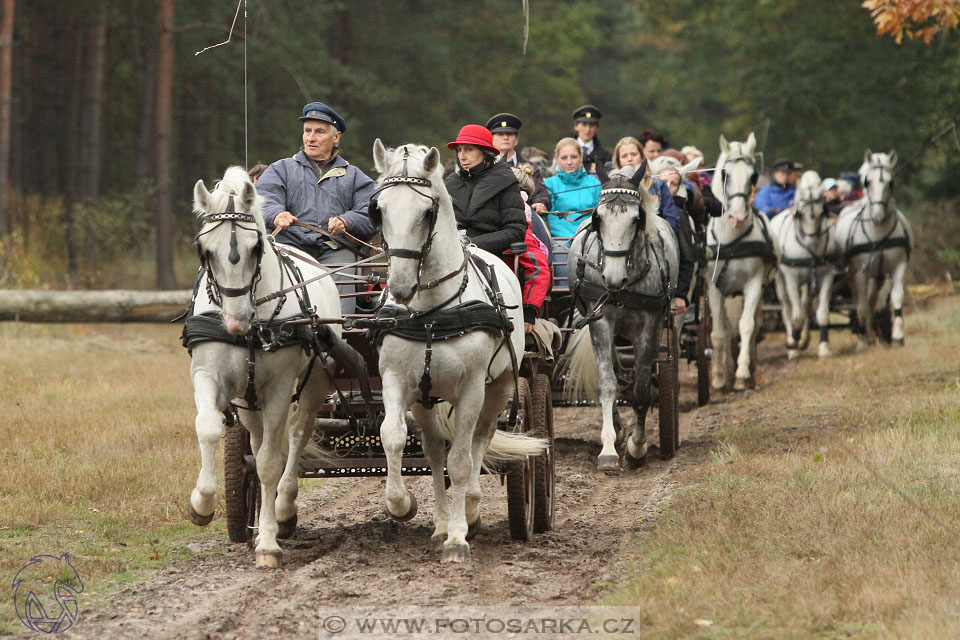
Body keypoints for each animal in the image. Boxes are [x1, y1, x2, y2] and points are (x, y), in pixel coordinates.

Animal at [188, 166, 342, 564]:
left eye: (255, 248)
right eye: (205, 250)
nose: (236, 321)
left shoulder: (278, 388)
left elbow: (272, 461)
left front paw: (269, 542)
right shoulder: (209, 376)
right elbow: (209, 429)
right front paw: (202, 503)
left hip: (315, 381)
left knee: (297, 433)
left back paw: (284, 509)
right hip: (248, 398)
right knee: (255, 446)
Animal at [370, 142, 544, 564]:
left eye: (427, 212)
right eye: (379, 209)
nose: (400, 287)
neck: (431, 312)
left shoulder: (471, 389)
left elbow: (462, 461)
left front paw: (459, 537)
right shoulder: (397, 381)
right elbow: (393, 437)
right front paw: (402, 505)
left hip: (499, 386)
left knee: (480, 439)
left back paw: (471, 511)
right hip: (427, 397)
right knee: (434, 452)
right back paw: (440, 524)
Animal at [704, 135, 780, 390]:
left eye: (753, 176)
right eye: (725, 174)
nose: (737, 216)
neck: (732, 240)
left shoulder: (754, 284)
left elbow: (746, 326)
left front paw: (741, 375)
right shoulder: (713, 288)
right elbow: (718, 332)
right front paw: (718, 377)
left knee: (754, 324)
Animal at [768, 170, 836, 358]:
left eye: (823, 212)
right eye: (800, 214)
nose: (812, 244)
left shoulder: (827, 275)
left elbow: (822, 314)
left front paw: (824, 347)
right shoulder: (791, 277)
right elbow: (796, 315)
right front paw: (793, 342)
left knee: (805, 305)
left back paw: (804, 339)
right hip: (781, 280)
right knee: (787, 307)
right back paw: (793, 341)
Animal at [836, 149, 912, 348]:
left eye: (890, 182)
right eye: (867, 182)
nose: (878, 216)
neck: (878, 231)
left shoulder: (899, 265)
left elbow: (897, 298)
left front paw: (898, 337)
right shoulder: (860, 272)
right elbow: (861, 306)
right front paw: (862, 340)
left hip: (878, 276)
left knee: (873, 301)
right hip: (856, 275)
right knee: (861, 302)